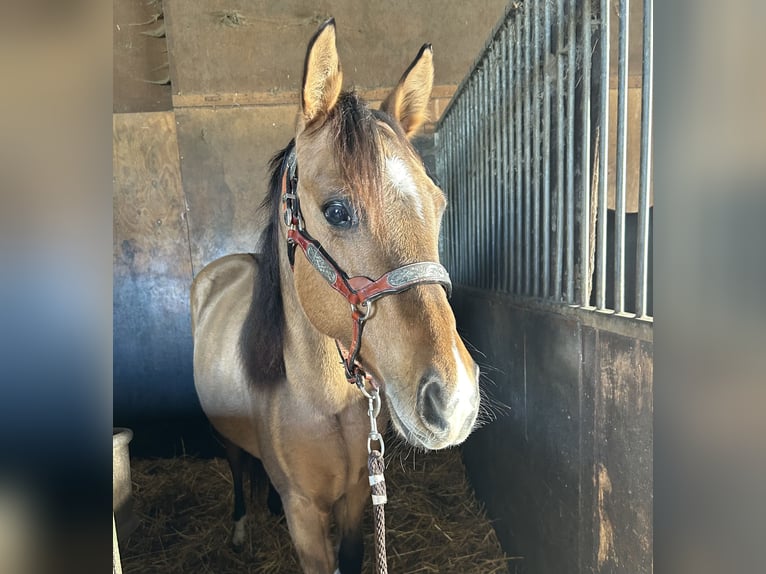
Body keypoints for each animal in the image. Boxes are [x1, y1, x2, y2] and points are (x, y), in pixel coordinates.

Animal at [192, 18, 480, 574]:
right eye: (338, 211)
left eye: (438, 203)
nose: (454, 402)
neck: (320, 400)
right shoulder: (305, 515)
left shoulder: (355, 497)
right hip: (225, 440)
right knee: (238, 471)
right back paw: (240, 528)